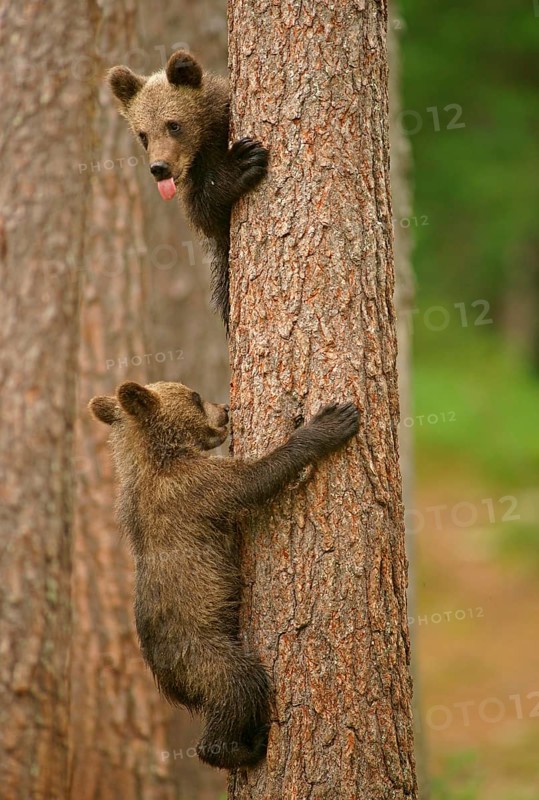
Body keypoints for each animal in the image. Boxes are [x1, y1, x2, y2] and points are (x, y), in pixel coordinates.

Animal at [89, 380, 359, 769]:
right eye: (196, 397)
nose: (226, 408)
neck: (159, 455)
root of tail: (166, 681)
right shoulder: (198, 487)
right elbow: (256, 478)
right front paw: (331, 422)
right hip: (203, 654)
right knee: (239, 685)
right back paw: (245, 746)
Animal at [107, 50, 269, 330]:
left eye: (173, 125)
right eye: (143, 135)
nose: (159, 168)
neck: (205, 146)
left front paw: (246, 156)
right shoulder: (195, 178)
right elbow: (205, 210)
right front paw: (243, 162)